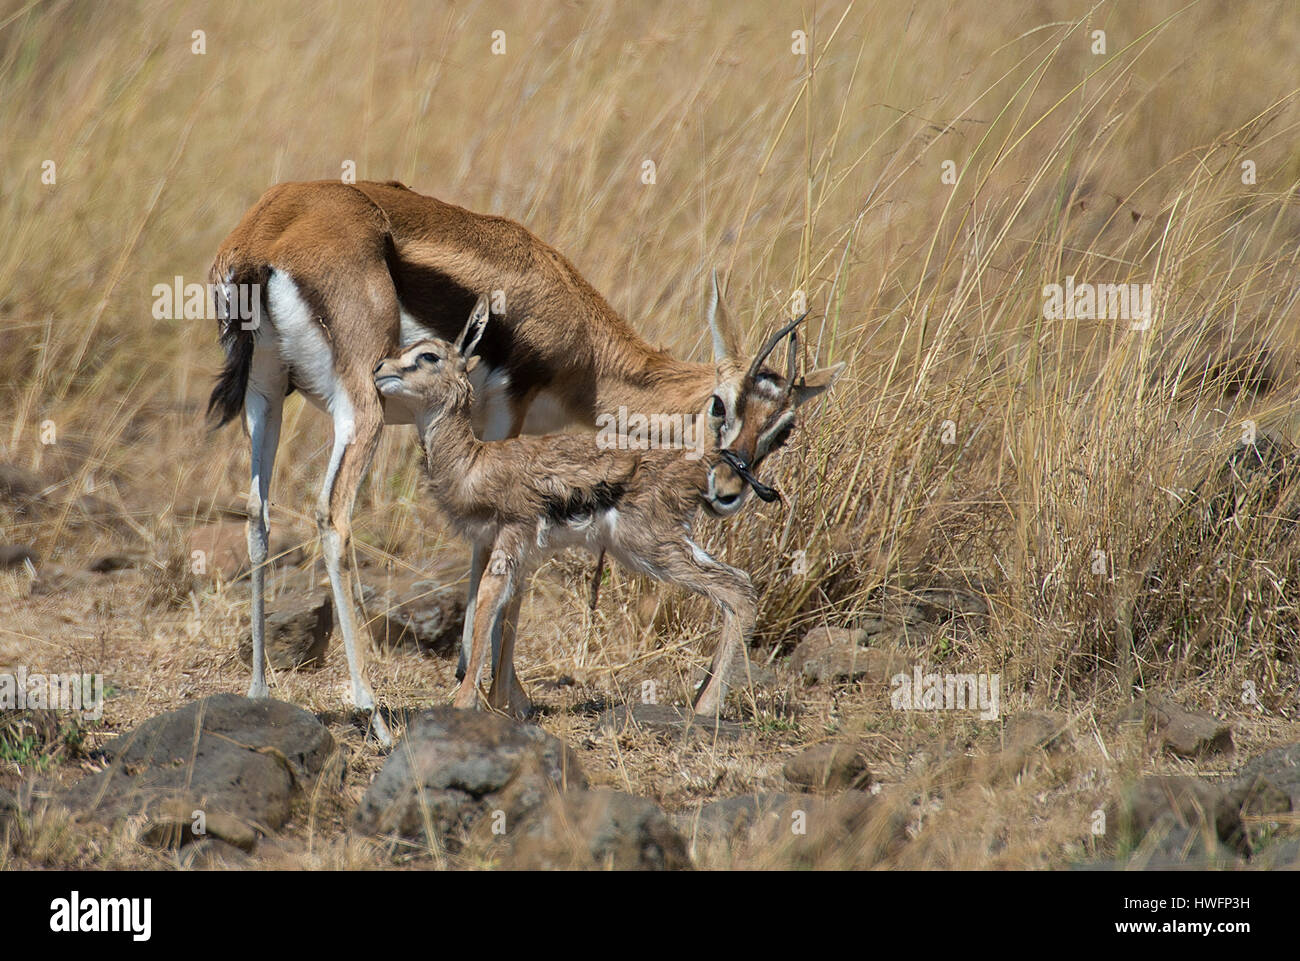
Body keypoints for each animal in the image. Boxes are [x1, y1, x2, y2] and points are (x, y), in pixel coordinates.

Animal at [374, 295, 828, 716]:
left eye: (428, 355)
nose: (379, 369)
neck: (474, 461)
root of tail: (703, 464)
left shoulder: (510, 537)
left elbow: (488, 602)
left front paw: (466, 703)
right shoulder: (520, 552)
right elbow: (510, 611)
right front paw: (507, 703)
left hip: (652, 547)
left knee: (738, 590)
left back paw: (706, 707)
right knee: (739, 584)